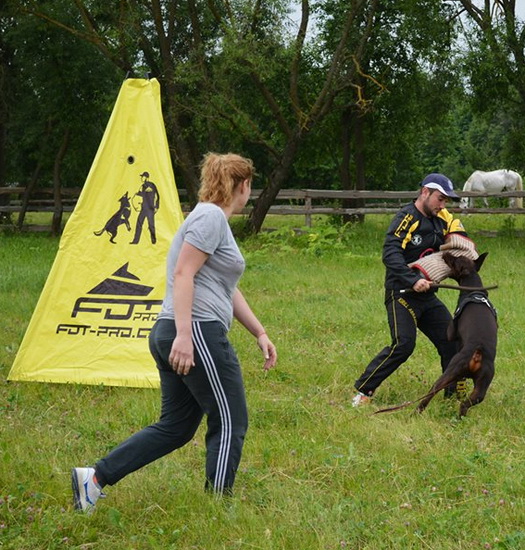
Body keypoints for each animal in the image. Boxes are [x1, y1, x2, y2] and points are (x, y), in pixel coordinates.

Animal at [416, 252, 497, 416]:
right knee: (466, 404)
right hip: (482, 385)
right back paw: (460, 419)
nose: (445, 253)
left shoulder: (451, 331)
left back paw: (417, 411)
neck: (474, 289)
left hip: (450, 372)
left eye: (454, 260)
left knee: (431, 392)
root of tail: (477, 354)